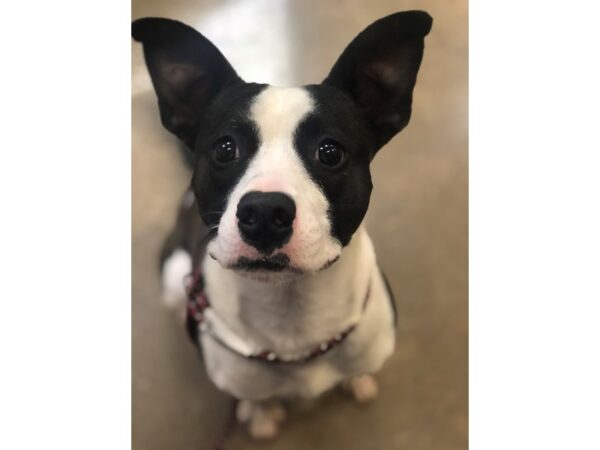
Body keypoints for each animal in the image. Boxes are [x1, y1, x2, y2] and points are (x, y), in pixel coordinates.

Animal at [132, 9, 432, 440]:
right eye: (225, 148)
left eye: (330, 152)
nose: (263, 214)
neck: (291, 312)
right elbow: (254, 396)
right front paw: (258, 412)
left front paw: (357, 379)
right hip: (173, 276)